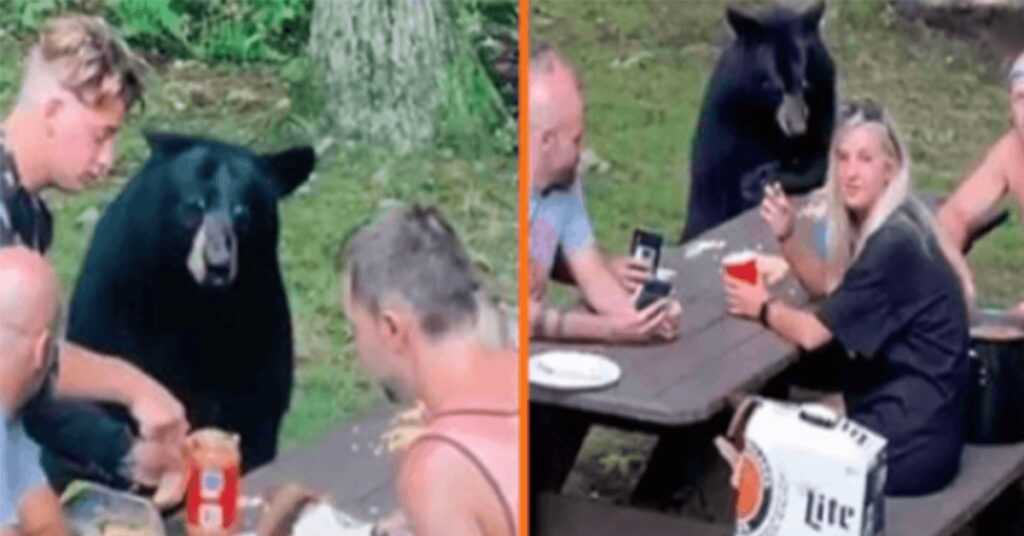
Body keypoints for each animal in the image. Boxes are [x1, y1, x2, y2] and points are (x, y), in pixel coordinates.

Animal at [62, 133, 313, 473]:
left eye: (243, 212)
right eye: (194, 206)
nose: (217, 265)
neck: (193, 301)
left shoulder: (258, 313)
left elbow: (255, 408)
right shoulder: (116, 302)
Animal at [675, 1, 835, 241]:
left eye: (805, 83)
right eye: (773, 86)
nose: (798, 129)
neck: (764, 114)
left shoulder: (822, 103)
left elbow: (819, 161)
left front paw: (764, 179)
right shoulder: (727, 118)